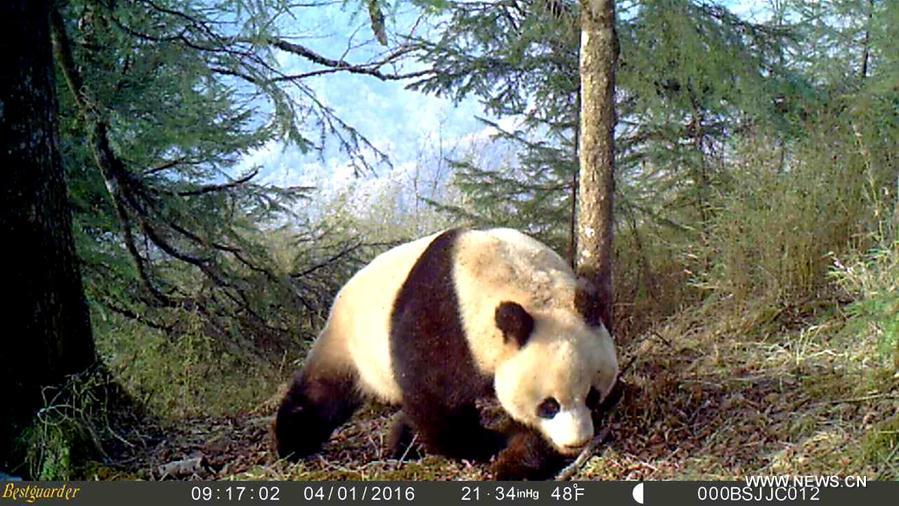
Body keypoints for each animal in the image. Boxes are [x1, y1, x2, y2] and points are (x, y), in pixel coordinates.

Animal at [276, 227, 620, 480]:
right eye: (549, 405)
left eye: (592, 395)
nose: (577, 443)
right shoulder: (441, 319)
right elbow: (434, 397)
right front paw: (482, 445)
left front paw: (516, 461)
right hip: (350, 343)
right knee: (322, 393)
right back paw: (290, 444)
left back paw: (400, 444)